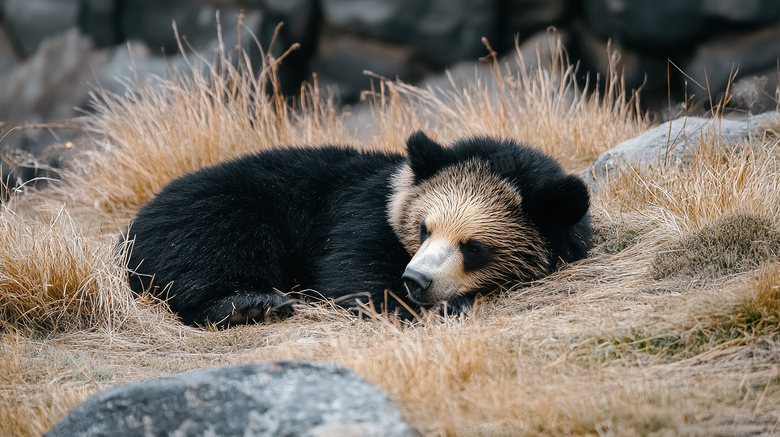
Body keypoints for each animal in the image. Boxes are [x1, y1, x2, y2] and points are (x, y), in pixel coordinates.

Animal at [126, 131, 592, 326]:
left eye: (473, 247)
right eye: (423, 229)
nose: (416, 280)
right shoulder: (363, 209)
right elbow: (350, 271)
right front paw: (433, 307)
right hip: (213, 209)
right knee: (209, 248)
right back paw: (247, 305)